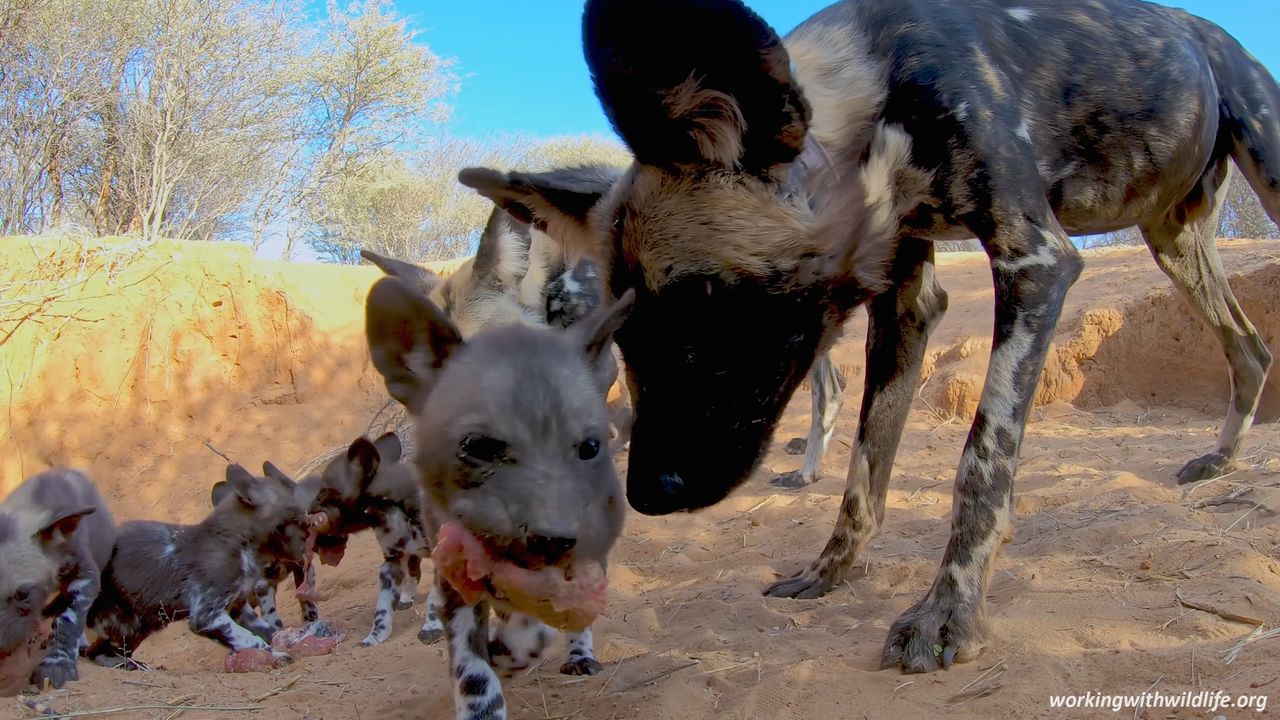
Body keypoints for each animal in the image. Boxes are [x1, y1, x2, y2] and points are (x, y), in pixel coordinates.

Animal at [87, 461, 307, 666]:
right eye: (293, 514)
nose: (307, 534)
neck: (239, 545)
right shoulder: (206, 616)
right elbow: (252, 640)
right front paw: (275, 656)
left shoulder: (237, 607)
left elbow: (269, 632)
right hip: (129, 624)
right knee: (96, 655)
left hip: (142, 623)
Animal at [366, 272, 634, 717]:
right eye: (477, 446)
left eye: (589, 447)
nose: (553, 537)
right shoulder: (454, 586)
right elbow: (473, 672)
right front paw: (484, 697)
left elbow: (536, 627)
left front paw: (513, 650)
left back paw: (577, 654)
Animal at [463, 0, 1280, 671]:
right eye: (625, 328)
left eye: (702, 301)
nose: (648, 494)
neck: (884, 83)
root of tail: (1207, 30)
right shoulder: (908, 302)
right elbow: (864, 470)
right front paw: (829, 573)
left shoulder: (1036, 265)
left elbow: (981, 463)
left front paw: (948, 615)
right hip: (1172, 241)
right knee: (1250, 347)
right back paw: (1222, 459)